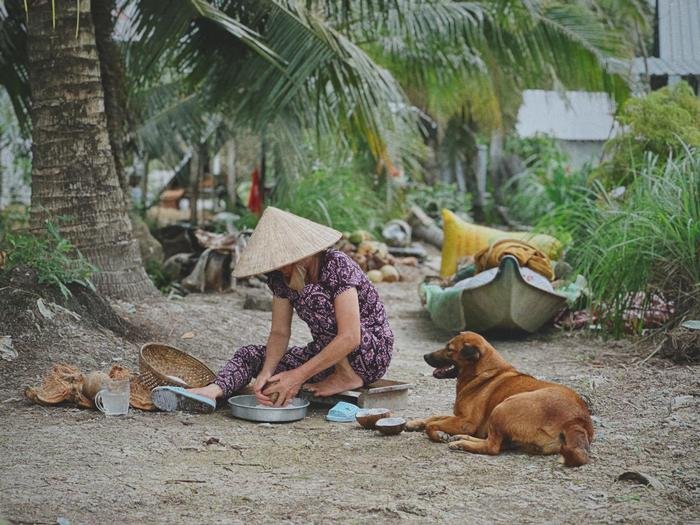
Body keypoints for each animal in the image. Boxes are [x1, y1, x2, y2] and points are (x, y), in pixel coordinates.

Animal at [408, 332, 592, 466]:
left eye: (449, 349)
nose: (425, 356)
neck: (483, 372)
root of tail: (576, 421)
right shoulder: (458, 416)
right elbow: (433, 417)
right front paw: (415, 423)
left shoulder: (467, 422)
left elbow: (432, 424)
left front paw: (438, 434)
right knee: (494, 441)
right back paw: (461, 439)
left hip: (502, 407)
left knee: (492, 447)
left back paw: (462, 444)